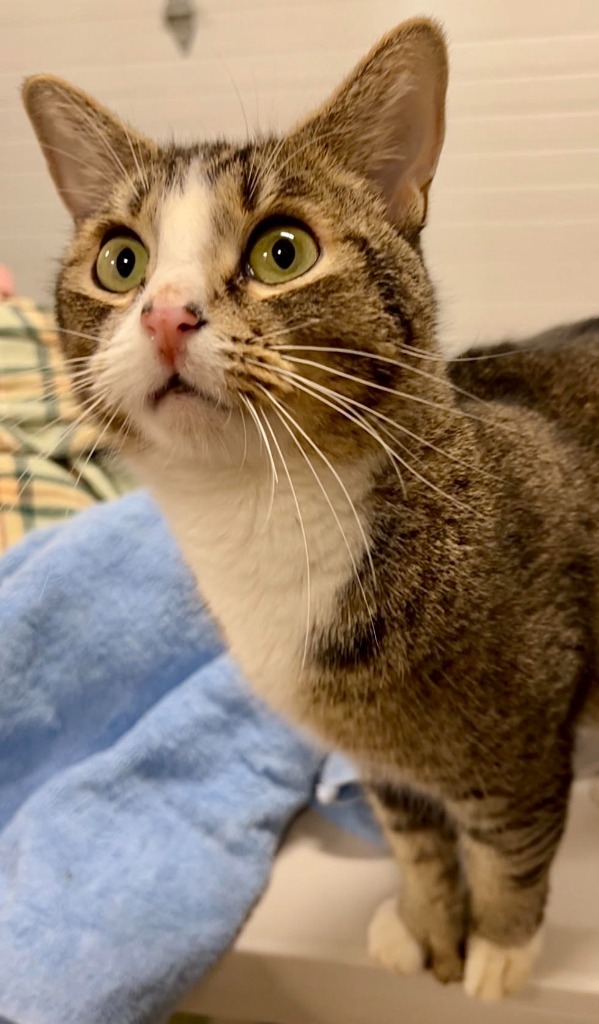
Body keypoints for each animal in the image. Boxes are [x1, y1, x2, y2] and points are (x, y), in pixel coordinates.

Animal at [22, 16, 597, 1003]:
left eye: (281, 250)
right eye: (120, 261)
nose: (165, 314)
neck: (265, 510)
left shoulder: (524, 734)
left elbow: (507, 849)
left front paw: (498, 950)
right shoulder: (380, 763)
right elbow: (415, 843)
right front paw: (426, 928)